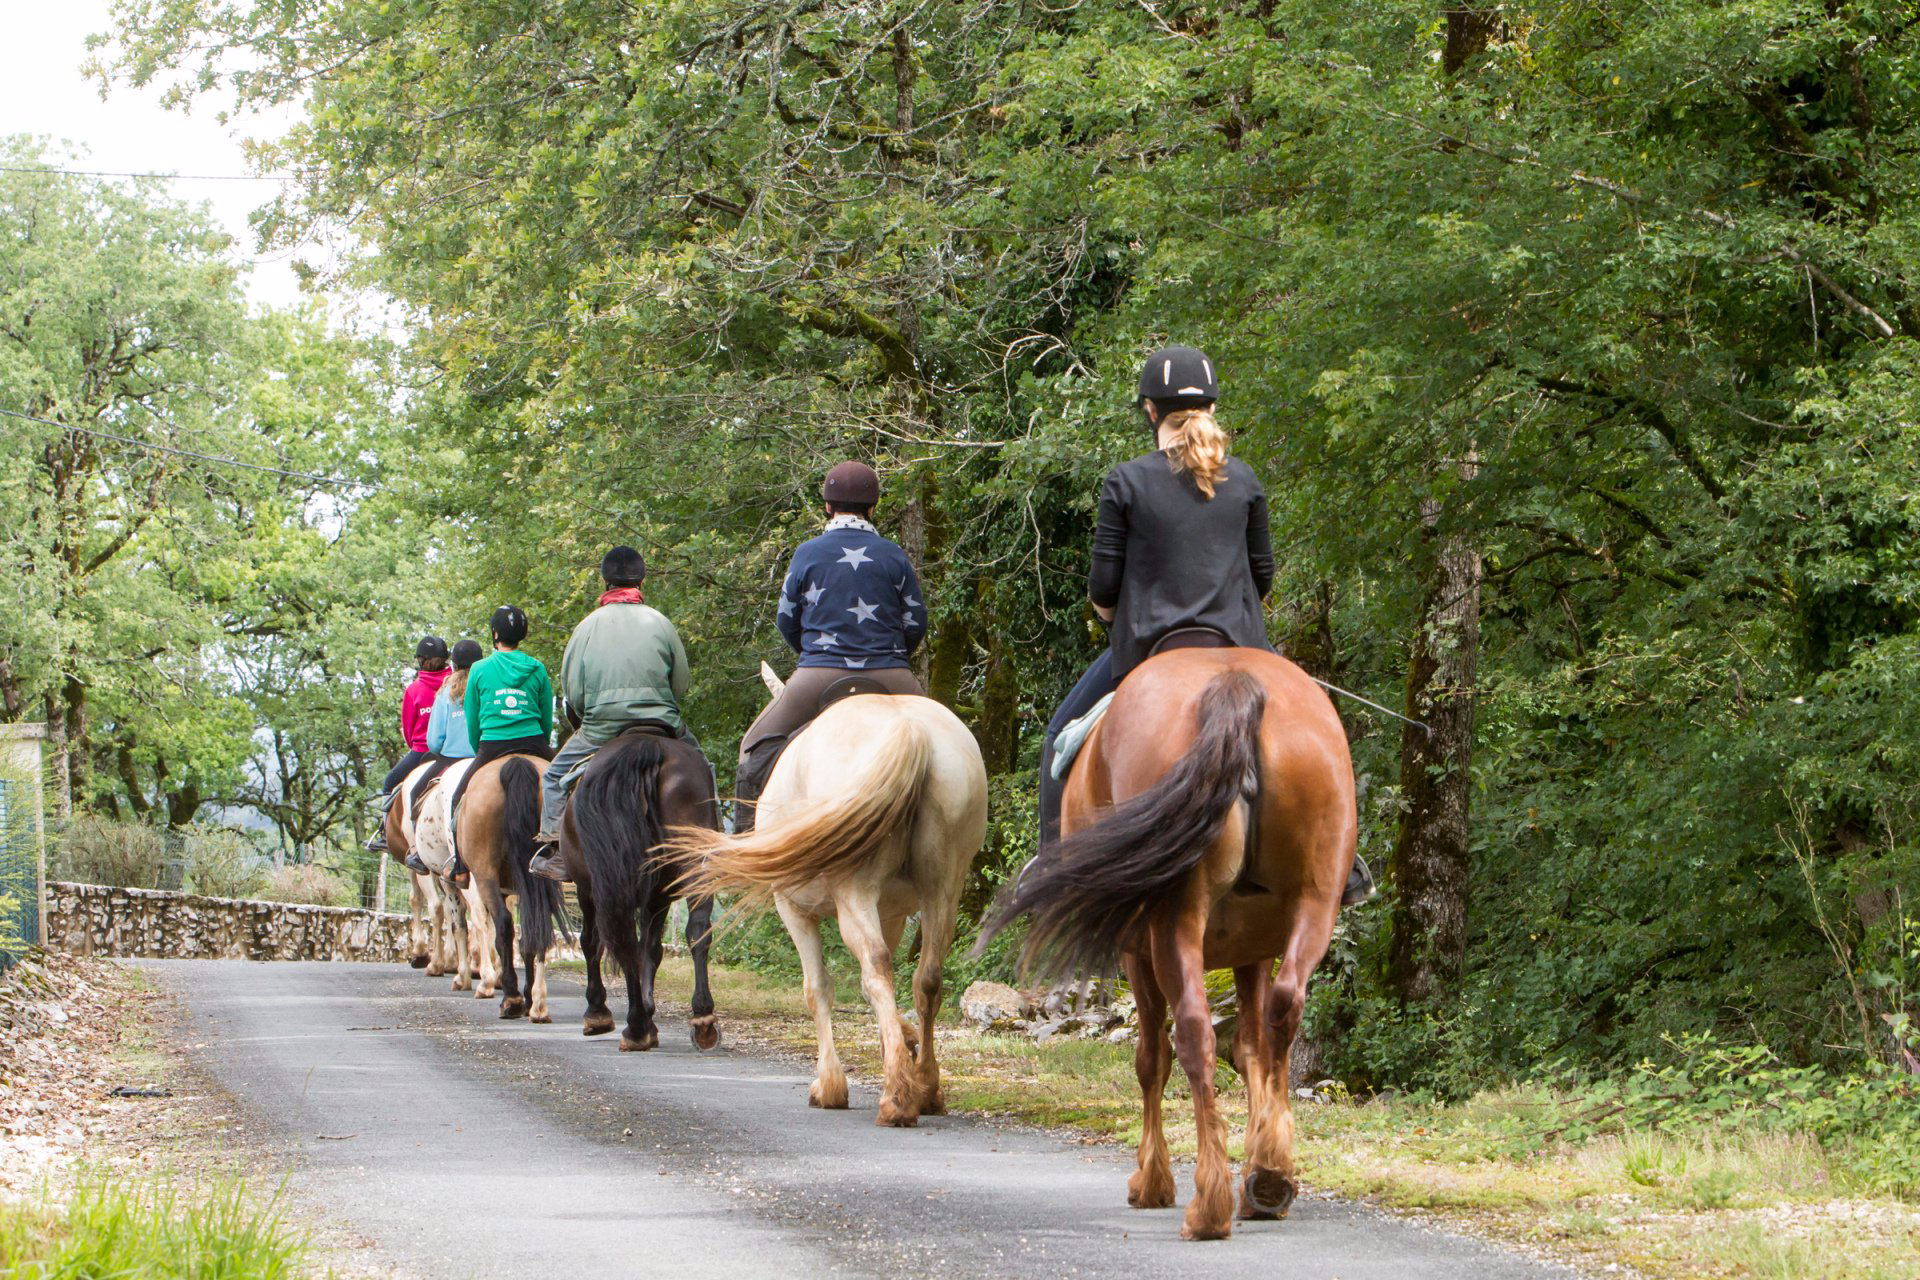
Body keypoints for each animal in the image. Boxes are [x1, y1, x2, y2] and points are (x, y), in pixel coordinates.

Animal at [453, 753, 570, 1021]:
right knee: (536, 928)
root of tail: (517, 761)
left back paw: (511, 999)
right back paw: (538, 1004)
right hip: (544, 876)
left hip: (485, 874)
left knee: (504, 926)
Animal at [555, 730, 722, 1052]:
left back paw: (634, 1028)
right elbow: (653, 950)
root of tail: (647, 746)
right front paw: (651, 1017)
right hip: (693, 866)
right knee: (696, 931)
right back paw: (703, 1020)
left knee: (622, 942)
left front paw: (598, 1014)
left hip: (603, 885)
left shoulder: (586, 888)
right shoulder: (659, 895)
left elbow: (591, 943)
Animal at [666, 678, 987, 1127]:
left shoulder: (794, 910)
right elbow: (873, 988)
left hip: (854, 891)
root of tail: (911, 730)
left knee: (876, 966)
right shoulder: (891, 912)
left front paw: (831, 1086)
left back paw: (897, 1097)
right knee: (925, 978)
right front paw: (900, 1044)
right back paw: (924, 1087)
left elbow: (817, 988)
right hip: (943, 888)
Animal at [983, 647, 1355, 1241]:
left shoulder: (1136, 951)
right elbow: (1250, 1049)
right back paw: (1269, 1177)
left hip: (1171, 925)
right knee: (1283, 1009)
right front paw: (1258, 1164)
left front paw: (1151, 1180)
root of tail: (1233, 682)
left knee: (1193, 1034)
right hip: (1314, 906)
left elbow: (1150, 1060)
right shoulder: (1254, 949)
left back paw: (1208, 1204)